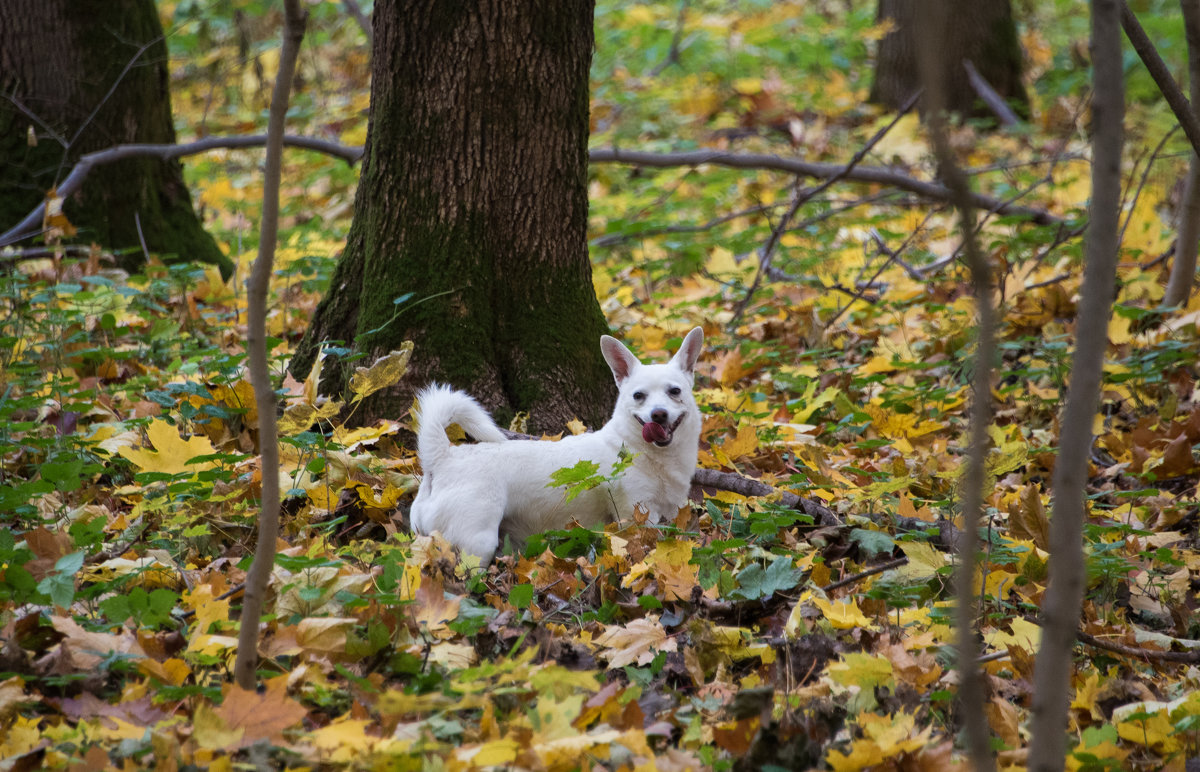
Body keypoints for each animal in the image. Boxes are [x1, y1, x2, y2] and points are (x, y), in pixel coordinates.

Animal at [410, 326, 700, 561]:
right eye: (638, 396)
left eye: (675, 391)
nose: (658, 414)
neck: (645, 452)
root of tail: (443, 458)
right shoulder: (639, 514)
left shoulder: (673, 511)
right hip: (479, 541)